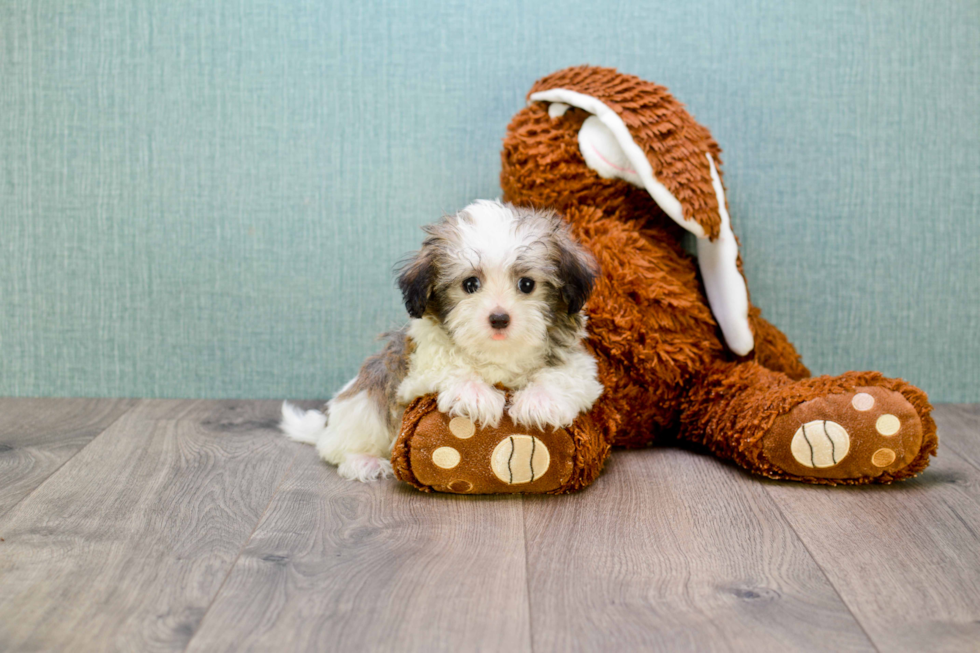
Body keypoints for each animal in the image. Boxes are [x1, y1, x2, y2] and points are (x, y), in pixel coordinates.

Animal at [280, 201, 600, 482]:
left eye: (527, 284)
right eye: (470, 284)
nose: (499, 318)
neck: (498, 353)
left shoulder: (582, 368)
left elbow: (565, 375)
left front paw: (539, 401)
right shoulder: (416, 369)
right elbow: (449, 366)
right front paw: (476, 395)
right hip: (363, 404)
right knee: (340, 446)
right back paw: (363, 461)